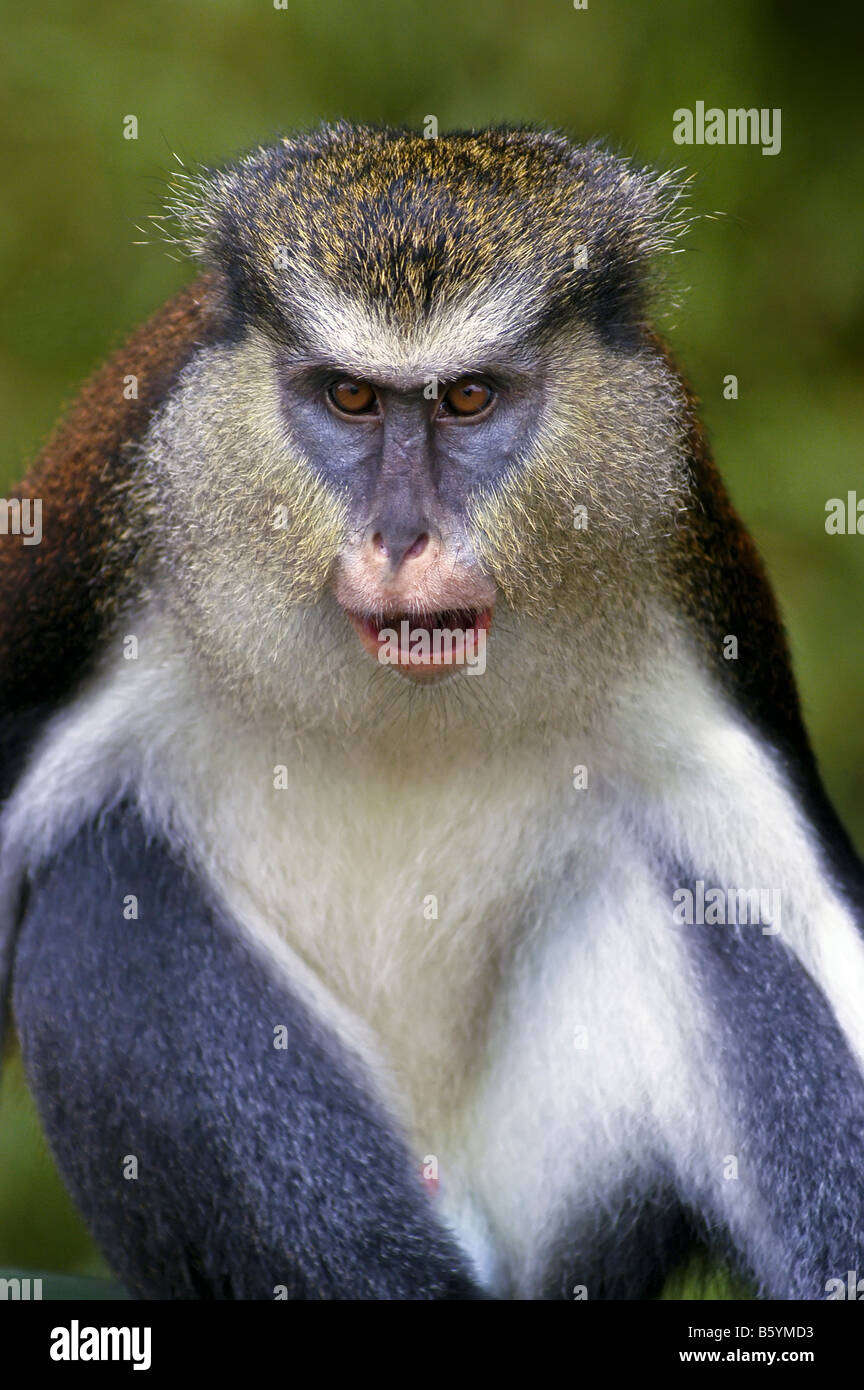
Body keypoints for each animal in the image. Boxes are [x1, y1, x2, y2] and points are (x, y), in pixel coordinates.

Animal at [1, 122, 864, 1301]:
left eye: (467, 399)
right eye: (351, 400)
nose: (401, 538)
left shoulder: (687, 571)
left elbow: (813, 923)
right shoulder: (97, 566)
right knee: (102, 893)